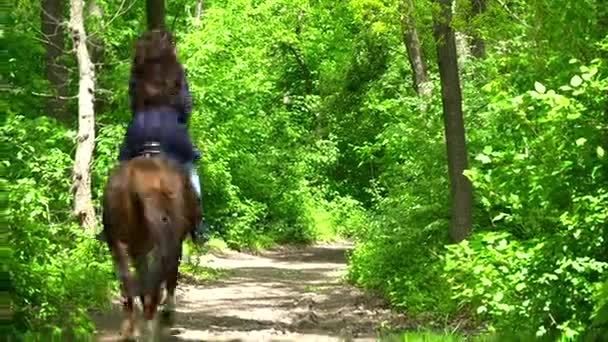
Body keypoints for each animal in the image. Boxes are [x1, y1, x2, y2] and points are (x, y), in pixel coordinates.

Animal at [102, 142, 200, 340]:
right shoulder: (173, 244)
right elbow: (170, 276)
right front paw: (167, 313)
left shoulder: (137, 249)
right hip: (164, 243)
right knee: (157, 279)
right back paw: (152, 323)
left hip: (117, 243)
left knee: (127, 282)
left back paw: (130, 330)